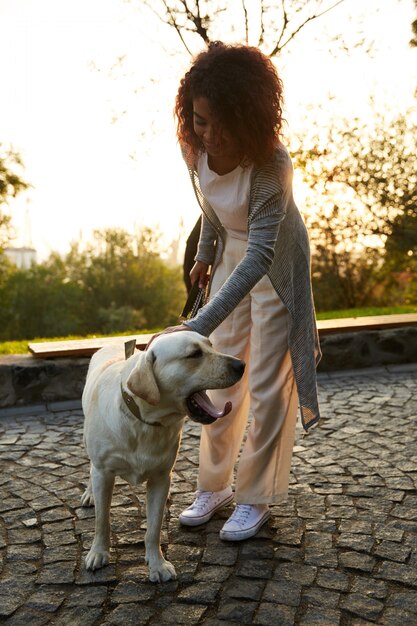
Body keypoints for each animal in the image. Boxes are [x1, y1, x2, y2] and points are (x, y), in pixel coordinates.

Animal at [79, 332, 244, 580]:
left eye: (211, 346)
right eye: (194, 354)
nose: (241, 365)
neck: (145, 422)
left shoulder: (160, 477)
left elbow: (154, 527)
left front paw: (157, 564)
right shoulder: (104, 472)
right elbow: (102, 520)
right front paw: (98, 552)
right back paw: (89, 493)